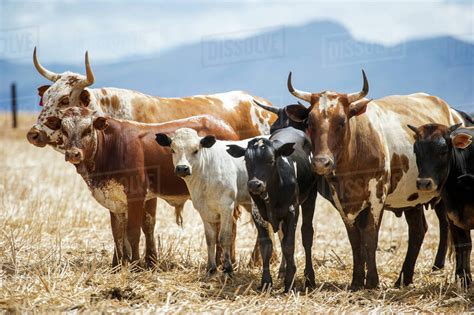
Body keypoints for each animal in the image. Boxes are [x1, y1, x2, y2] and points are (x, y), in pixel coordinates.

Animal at [45, 107, 239, 268]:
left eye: (87, 130)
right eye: (64, 130)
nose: (73, 154)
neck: (110, 148)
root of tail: (226, 127)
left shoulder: (136, 196)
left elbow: (133, 232)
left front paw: (136, 265)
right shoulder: (114, 199)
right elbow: (118, 232)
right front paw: (117, 265)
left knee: (230, 225)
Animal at [227, 127, 316, 292]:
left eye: (271, 161)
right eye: (247, 161)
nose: (255, 184)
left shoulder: (292, 211)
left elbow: (289, 245)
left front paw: (289, 282)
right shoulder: (257, 213)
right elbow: (266, 246)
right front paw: (266, 281)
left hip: (310, 197)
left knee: (307, 234)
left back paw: (309, 278)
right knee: (282, 235)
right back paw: (283, 271)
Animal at [284, 71, 464, 292]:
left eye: (342, 122)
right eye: (310, 122)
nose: (321, 163)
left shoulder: (377, 195)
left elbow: (370, 236)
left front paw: (371, 282)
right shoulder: (342, 200)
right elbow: (354, 239)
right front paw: (356, 281)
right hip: (411, 198)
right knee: (417, 231)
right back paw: (403, 278)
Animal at [410, 124, 472, 288]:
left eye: (443, 151)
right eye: (416, 150)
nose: (424, 183)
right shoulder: (454, 218)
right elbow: (464, 247)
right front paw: (465, 280)